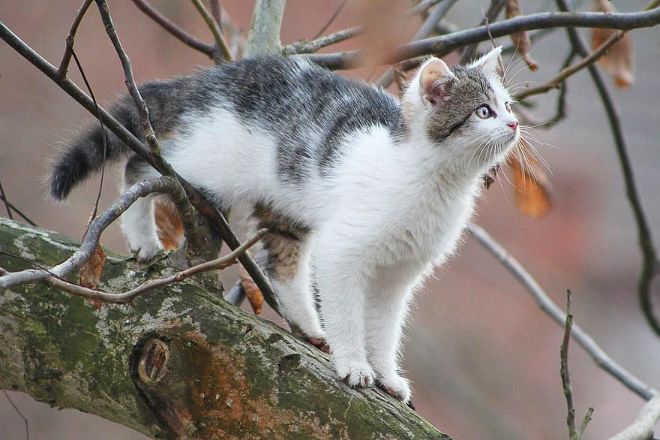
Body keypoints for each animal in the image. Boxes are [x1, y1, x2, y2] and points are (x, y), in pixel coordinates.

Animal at [50, 47, 520, 402]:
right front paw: (354, 365)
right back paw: (144, 237)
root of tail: (216, 78)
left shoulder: (399, 274)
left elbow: (385, 327)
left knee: (282, 264)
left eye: (507, 105)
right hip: (206, 166)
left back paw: (308, 326)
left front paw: (386, 374)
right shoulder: (343, 249)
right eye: (483, 111)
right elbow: (348, 313)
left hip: (286, 205)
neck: (434, 180)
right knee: (142, 166)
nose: (515, 123)